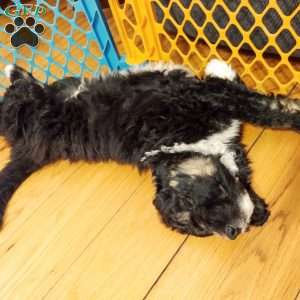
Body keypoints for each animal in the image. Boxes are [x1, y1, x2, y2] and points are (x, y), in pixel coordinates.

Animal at [0, 60, 298, 239]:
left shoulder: (204, 102)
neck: (172, 147)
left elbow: (257, 108)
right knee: (14, 96)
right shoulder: (209, 101)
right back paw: (13, 70)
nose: (233, 231)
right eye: (200, 229)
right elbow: (255, 103)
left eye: (195, 200)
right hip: (23, 112)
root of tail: (27, 148)